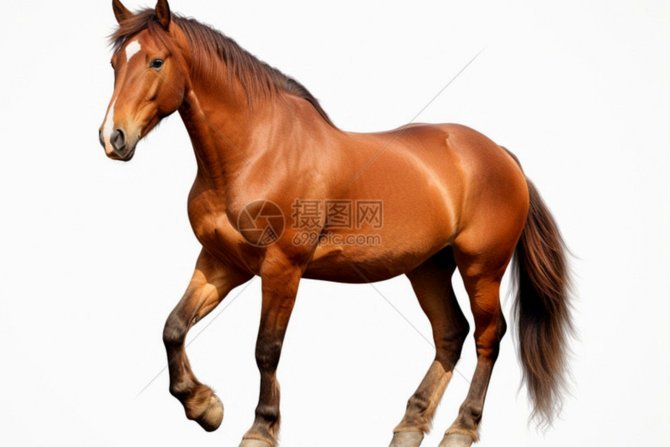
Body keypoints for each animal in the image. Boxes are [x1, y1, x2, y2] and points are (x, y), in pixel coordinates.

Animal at [99, 1, 572, 446]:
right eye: (115, 62)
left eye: (156, 61)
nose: (112, 138)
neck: (256, 151)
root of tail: (500, 154)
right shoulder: (221, 262)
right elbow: (173, 327)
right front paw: (204, 407)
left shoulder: (282, 267)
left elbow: (266, 349)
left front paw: (261, 427)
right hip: (429, 267)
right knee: (451, 333)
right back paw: (410, 425)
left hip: (482, 268)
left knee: (488, 336)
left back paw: (461, 427)